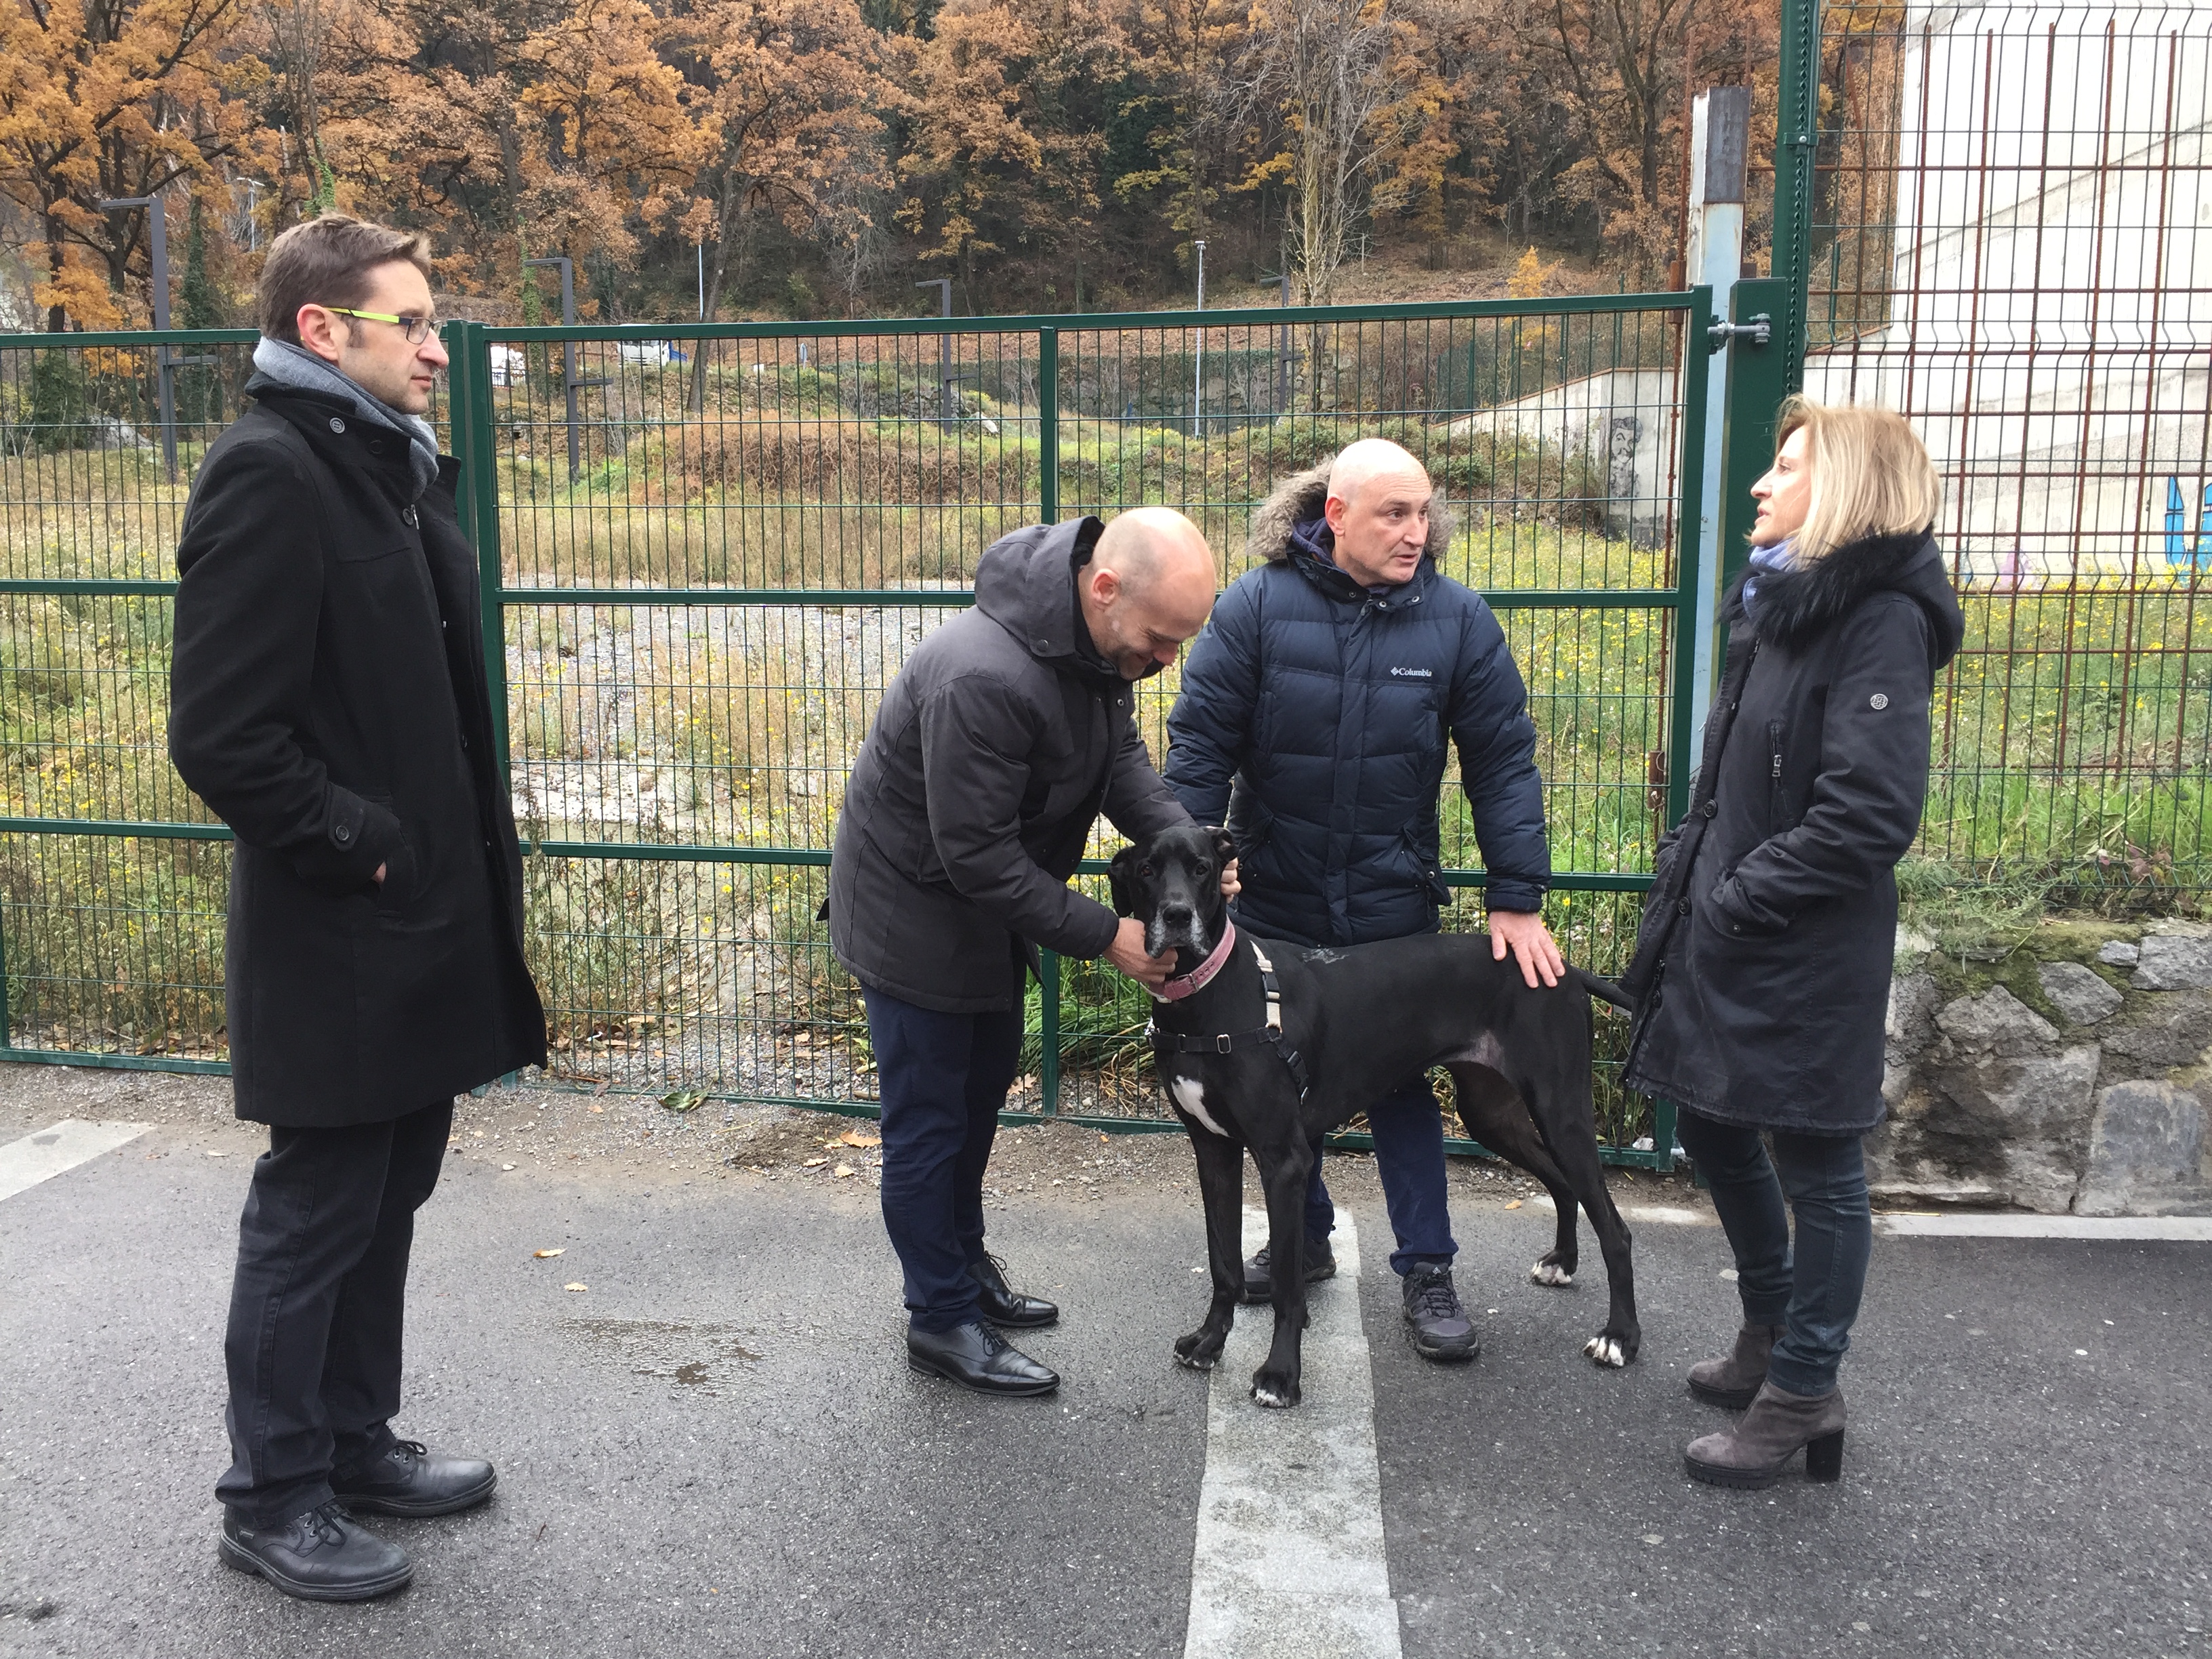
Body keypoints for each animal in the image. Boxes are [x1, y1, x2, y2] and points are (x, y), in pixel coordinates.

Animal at [1110, 822, 1641, 1409]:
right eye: (1147, 870)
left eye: (1202, 868)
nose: (1178, 916)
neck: (1206, 992)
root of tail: (1564, 966)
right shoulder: (1214, 1152)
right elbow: (1222, 1263)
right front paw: (1208, 1342)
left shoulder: (1283, 1160)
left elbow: (1288, 1289)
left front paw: (1280, 1375)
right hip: (1491, 1114)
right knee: (1562, 1184)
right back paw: (1562, 1263)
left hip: (1561, 1111)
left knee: (1615, 1229)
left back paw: (1619, 1338)